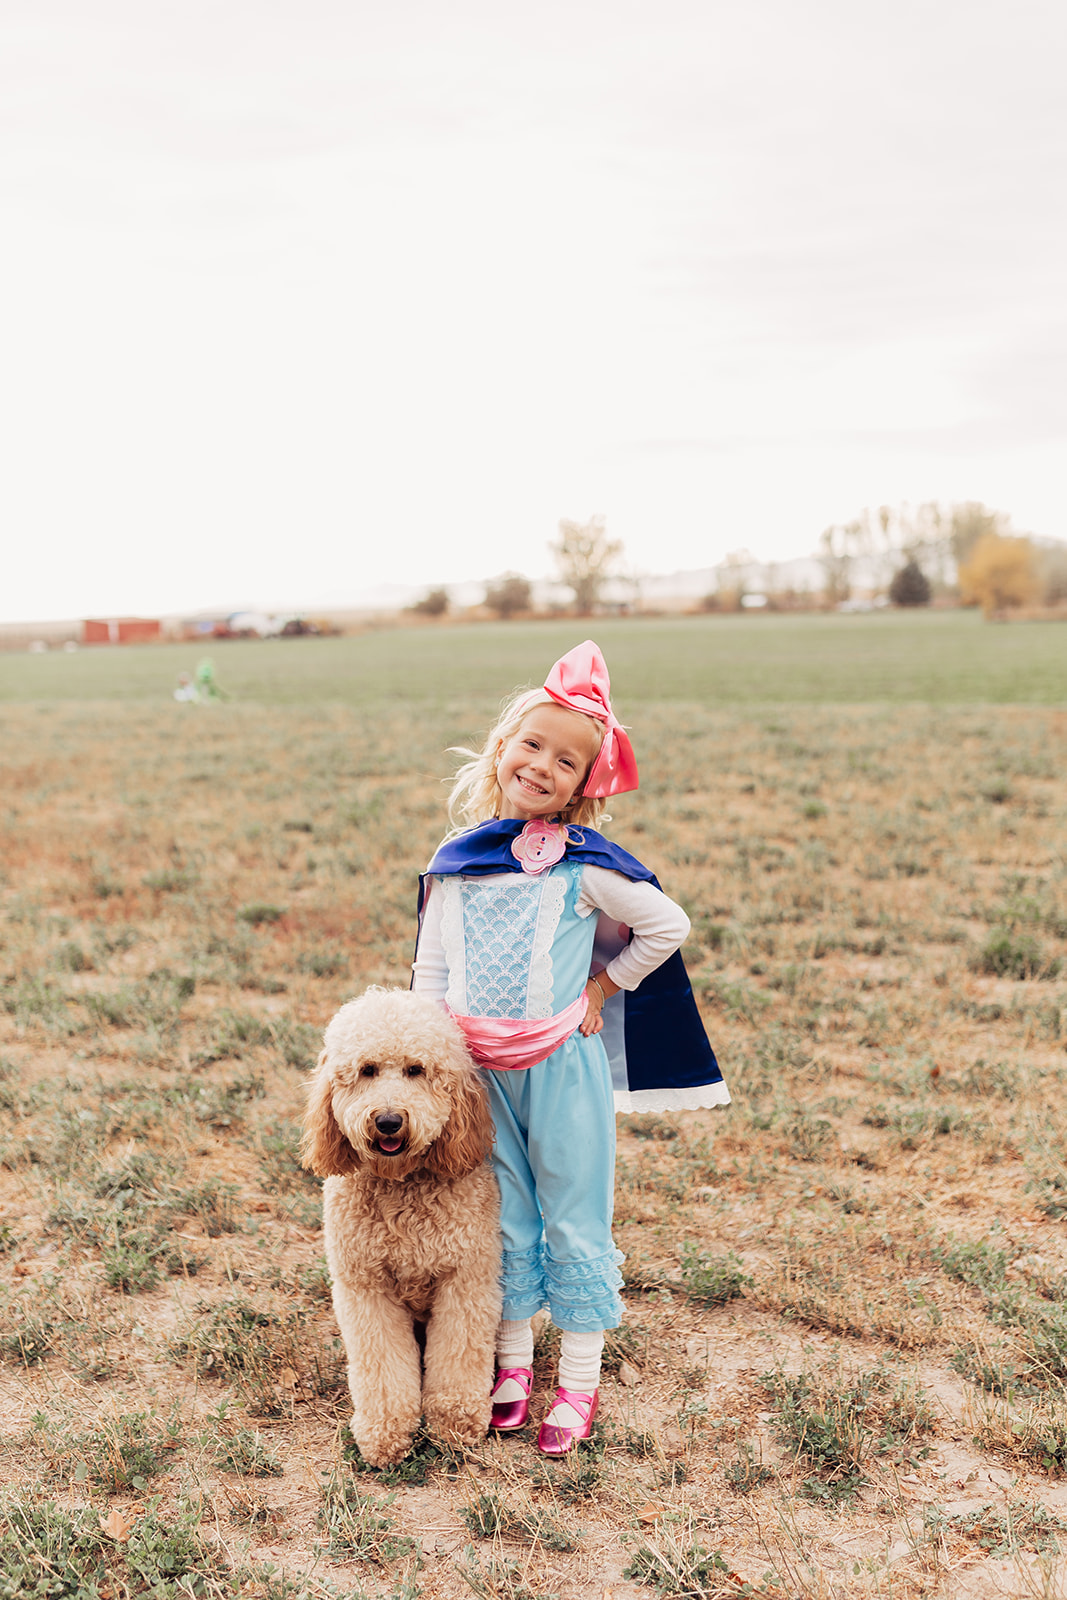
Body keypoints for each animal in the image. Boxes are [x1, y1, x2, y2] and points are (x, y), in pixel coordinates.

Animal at [300, 985, 502, 1465]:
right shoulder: (366, 1289)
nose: (389, 1120)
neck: (402, 1185)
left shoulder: (465, 1283)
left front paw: (455, 1422)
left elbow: (459, 1356)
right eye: (367, 1070)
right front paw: (386, 1432)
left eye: (416, 1070)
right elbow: (382, 1368)